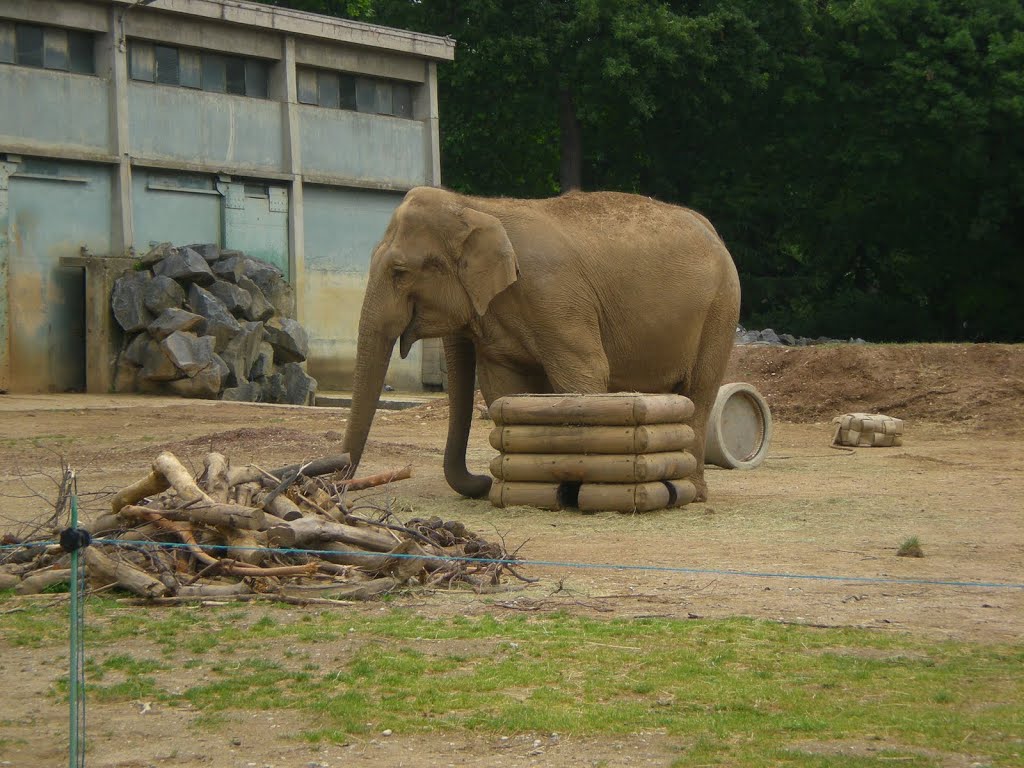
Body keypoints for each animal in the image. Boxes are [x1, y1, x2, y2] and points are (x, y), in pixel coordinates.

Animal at [342, 187, 737, 505]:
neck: (476, 206)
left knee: (699, 393)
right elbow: (505, 389)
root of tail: (713, 230)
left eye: (399, 272)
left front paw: (575, 492)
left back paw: (693, 494)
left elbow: (585, 376)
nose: (481, 480)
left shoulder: (556, 298)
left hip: (722, 309)